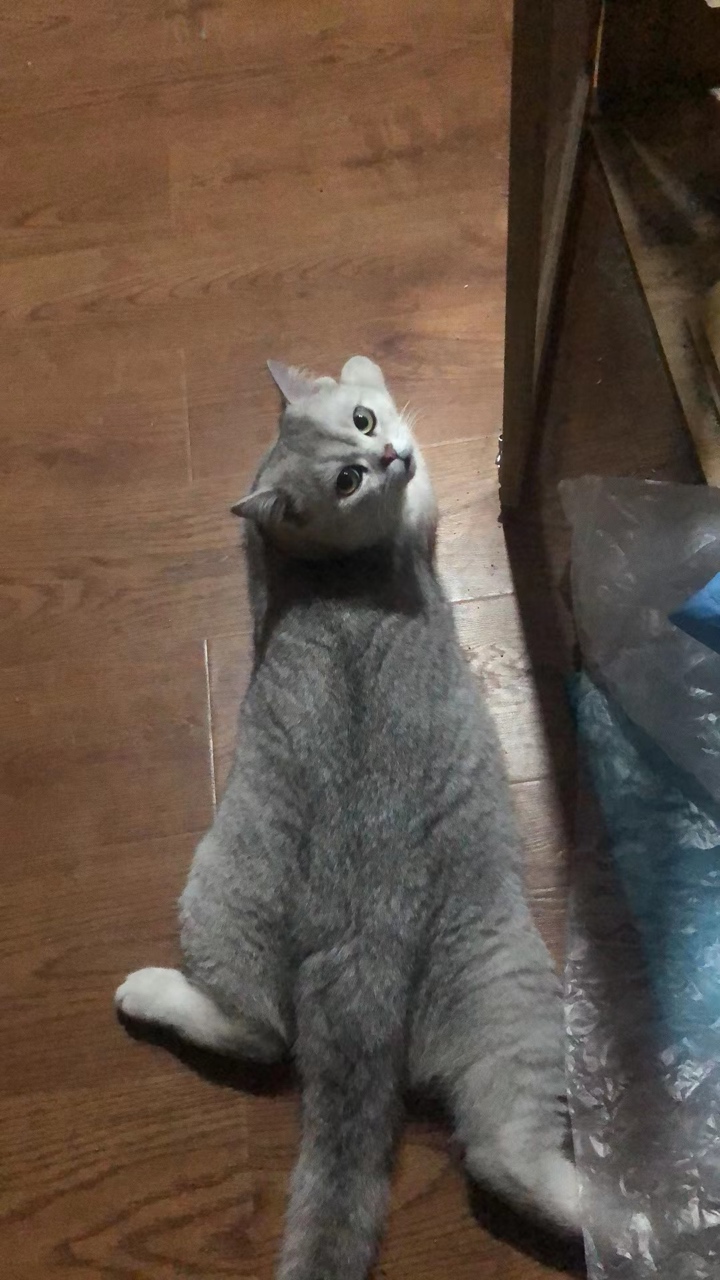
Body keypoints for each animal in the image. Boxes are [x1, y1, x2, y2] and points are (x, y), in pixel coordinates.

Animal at [115, 356, 579, 1280]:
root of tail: (359, 967)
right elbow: (427, 498)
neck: (317, 567)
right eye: (348, 478)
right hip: (493, 976)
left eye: (363, 425)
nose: (389, 451)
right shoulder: (420, 517)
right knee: (267, 1038)